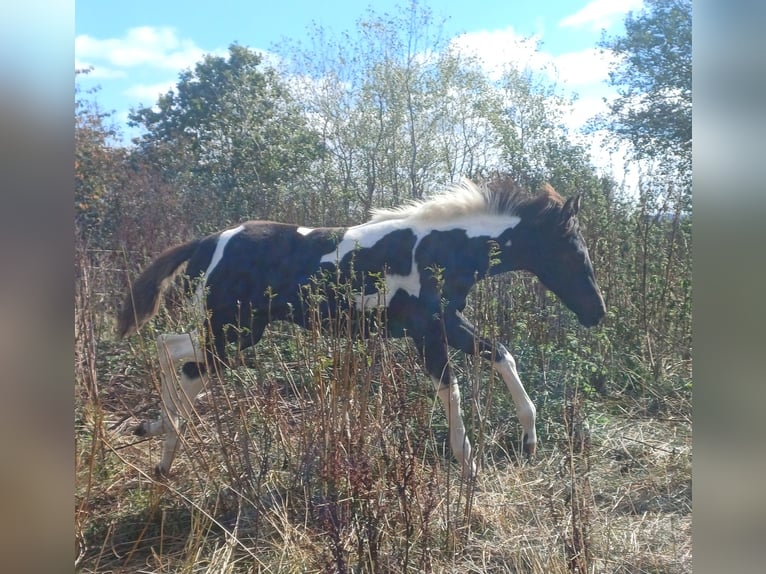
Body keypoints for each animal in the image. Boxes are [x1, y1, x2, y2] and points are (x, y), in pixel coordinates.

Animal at [117, 178, 606, 479]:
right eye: (572, 251)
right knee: (178, 358)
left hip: (234, 333)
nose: (597, 312)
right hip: (232, 331)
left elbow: (502, 354)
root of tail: (206, 242)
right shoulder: (426, 332)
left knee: (176, 356)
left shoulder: (448, 322)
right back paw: (163, 444)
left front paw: (529, 438)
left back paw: (158, 437)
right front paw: (468, 466)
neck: (441, 248)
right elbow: (451, 389)